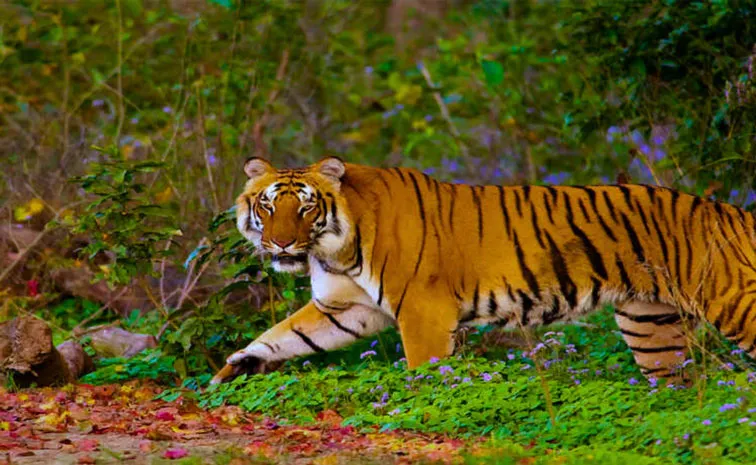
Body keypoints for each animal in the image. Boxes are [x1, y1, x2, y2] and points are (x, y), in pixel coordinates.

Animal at [209, 156, 756, 385]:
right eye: (267, 205)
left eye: (304, 207)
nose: (281, 242)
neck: (337, 248)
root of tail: (733, 212)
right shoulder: (345, 308)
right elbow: (282, 336)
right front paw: (233, 369)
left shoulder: (422, 312)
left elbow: (425, 370)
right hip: (650, 327)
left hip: (734, 304)